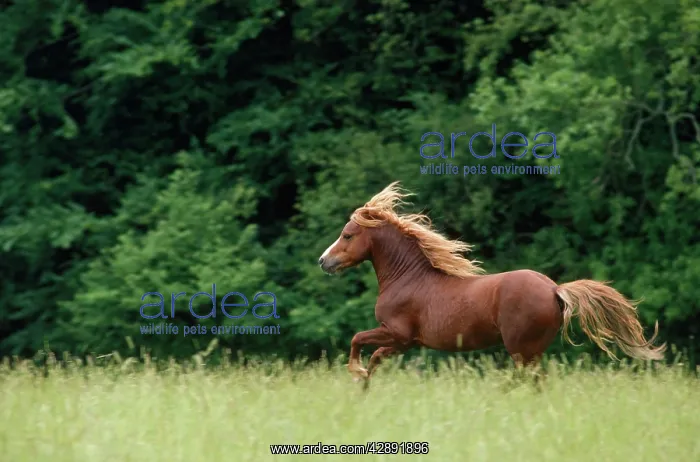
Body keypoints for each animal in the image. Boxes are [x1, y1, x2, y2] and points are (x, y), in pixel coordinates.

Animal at [318, 181, 666, 387]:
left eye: (347, 235)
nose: (323, 261)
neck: (409, 279)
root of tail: (555, 289)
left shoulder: (397, 333)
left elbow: (357, 340)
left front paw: (356, 373)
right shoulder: (405, 342)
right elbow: (375, 356)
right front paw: (364, 385)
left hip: (521, 348)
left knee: (529, 380)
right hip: (532, 350)